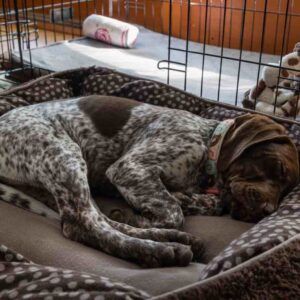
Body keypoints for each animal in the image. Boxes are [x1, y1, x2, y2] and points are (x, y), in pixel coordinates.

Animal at [0, 96, 298, 268]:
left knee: (100, 218)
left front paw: (187, 201)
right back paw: (160, 250)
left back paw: (171, 238)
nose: (266, 212)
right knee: (83, 225)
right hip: (64, 155)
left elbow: (203, 203)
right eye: (278, 167)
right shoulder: (129, 168)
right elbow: (174, 212)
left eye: (287, 191)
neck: (207, 140)